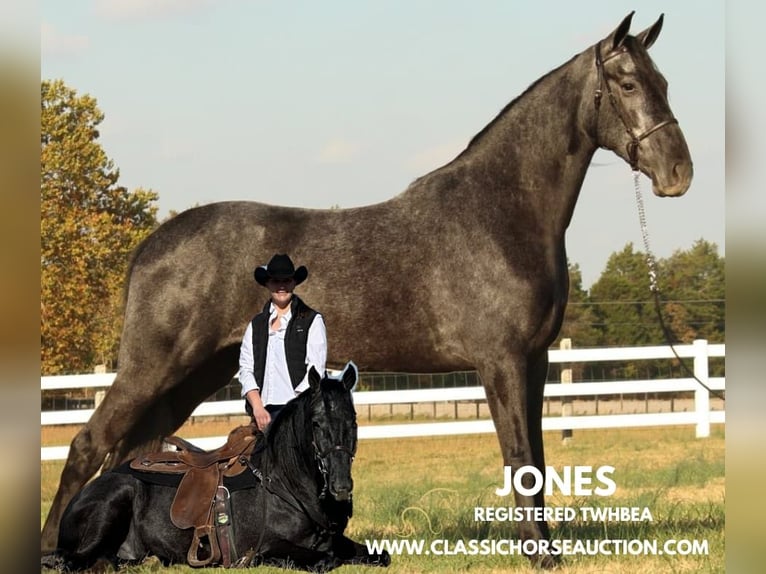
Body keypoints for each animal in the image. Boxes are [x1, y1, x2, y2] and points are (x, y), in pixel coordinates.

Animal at [42, 364, 390, 572]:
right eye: (316, 423)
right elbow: (325, 559)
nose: (341, 487)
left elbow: (378, 554)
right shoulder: (270, 546)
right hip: (115, 501)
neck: (283, 483)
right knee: (69, 560)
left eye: (353, 421)